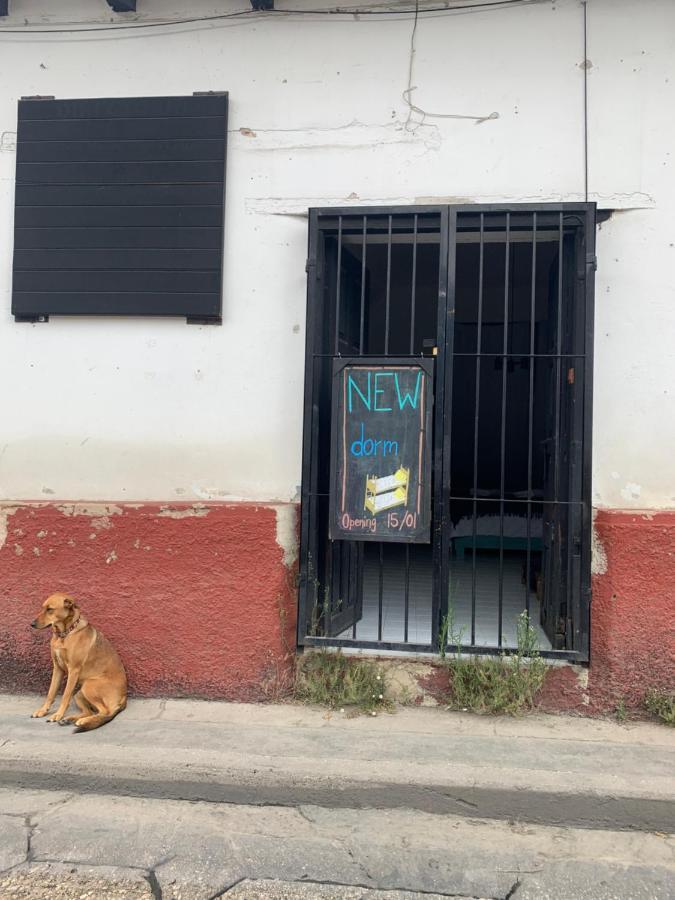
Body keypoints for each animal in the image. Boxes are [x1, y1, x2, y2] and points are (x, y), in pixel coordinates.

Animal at [29, 592, 127, 732]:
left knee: (104, 712)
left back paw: (82, 721)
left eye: (50, 609)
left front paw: (58, 714)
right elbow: (51, 692)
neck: (64, 634)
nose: (31, 624)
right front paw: (43, 710)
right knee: (90, 711)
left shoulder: (73, 671)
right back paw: (70, 720)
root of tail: (124, 697)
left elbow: (65, 695)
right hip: (79, 694)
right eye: (43, 608)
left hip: (88, 686)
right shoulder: (57, 668)